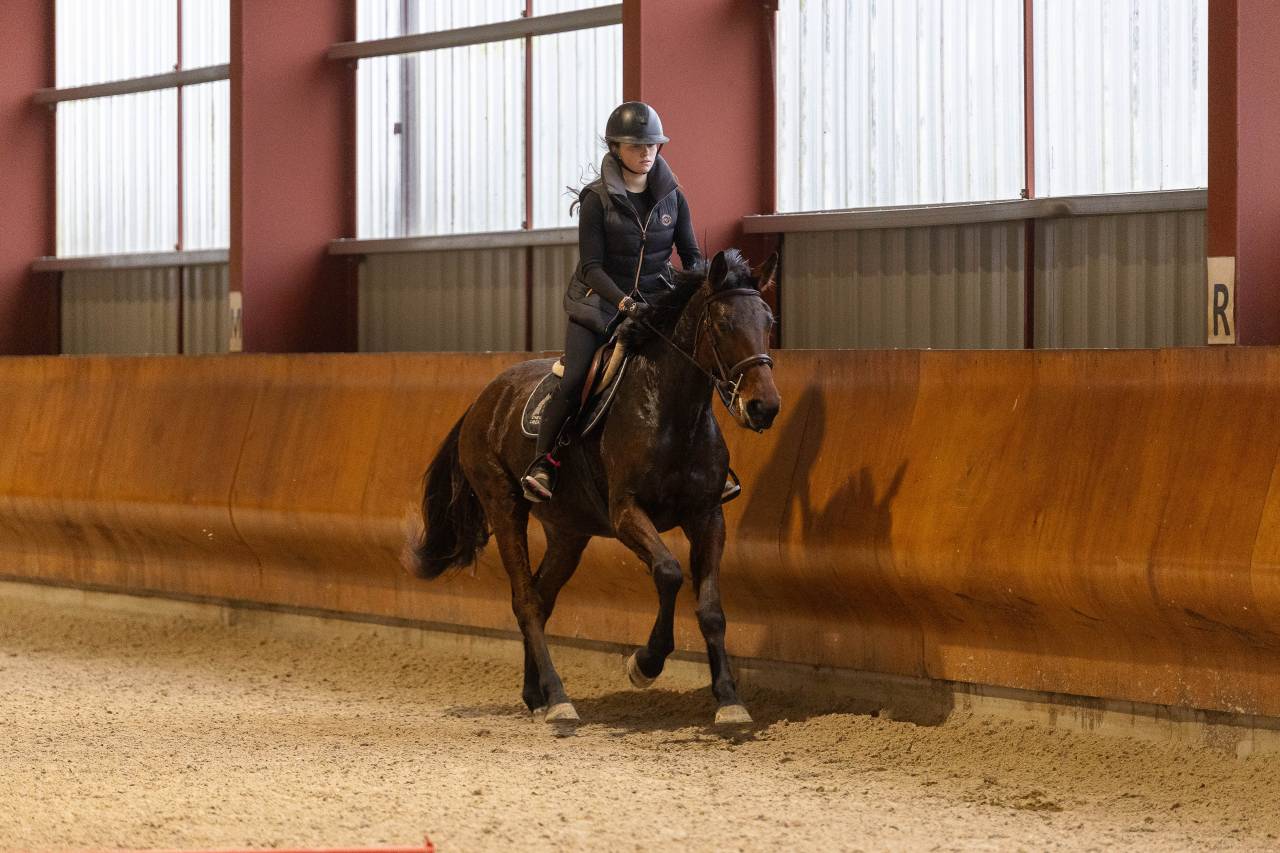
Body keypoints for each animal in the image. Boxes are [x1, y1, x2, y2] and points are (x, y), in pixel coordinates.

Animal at [404, 249, 781, 727]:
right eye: (723, 325)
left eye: (768, 321)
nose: (764, 407)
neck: (670, 410)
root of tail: (482, 401)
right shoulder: (625, 514)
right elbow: (669, 572)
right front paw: (645, 663)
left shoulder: (707, 517)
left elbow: (712, 609)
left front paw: (730, 703)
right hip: (504, 506)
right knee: (526, 601)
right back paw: (559, 699)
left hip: (569, 532)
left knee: (542, 597)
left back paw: (537, 694)